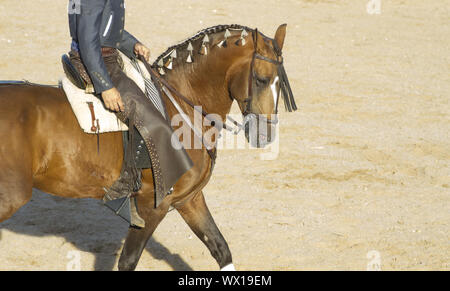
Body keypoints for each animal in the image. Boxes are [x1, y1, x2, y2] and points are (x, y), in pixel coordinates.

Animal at [0, 24, 294, 272]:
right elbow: (128, 261)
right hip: (12, 196)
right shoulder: (153, 204)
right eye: (260, 79)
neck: (181, 109)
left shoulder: (189, 199)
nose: (265, 134)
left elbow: (220, 248)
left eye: (280, 82)